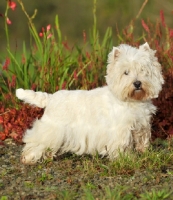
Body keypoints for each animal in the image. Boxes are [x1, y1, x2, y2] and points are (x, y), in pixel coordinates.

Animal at [15, 42, 164, 164]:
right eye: (125, 72)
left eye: (143, 70)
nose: (137, 83)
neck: (132, 101)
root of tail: (50, 98)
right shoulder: (121, 129)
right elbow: (122, 145)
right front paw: (126, 159)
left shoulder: (141, 125)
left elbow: (142, 140)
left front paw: (144, 152)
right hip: (52, 130)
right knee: (35, 141)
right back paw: (28, 158)